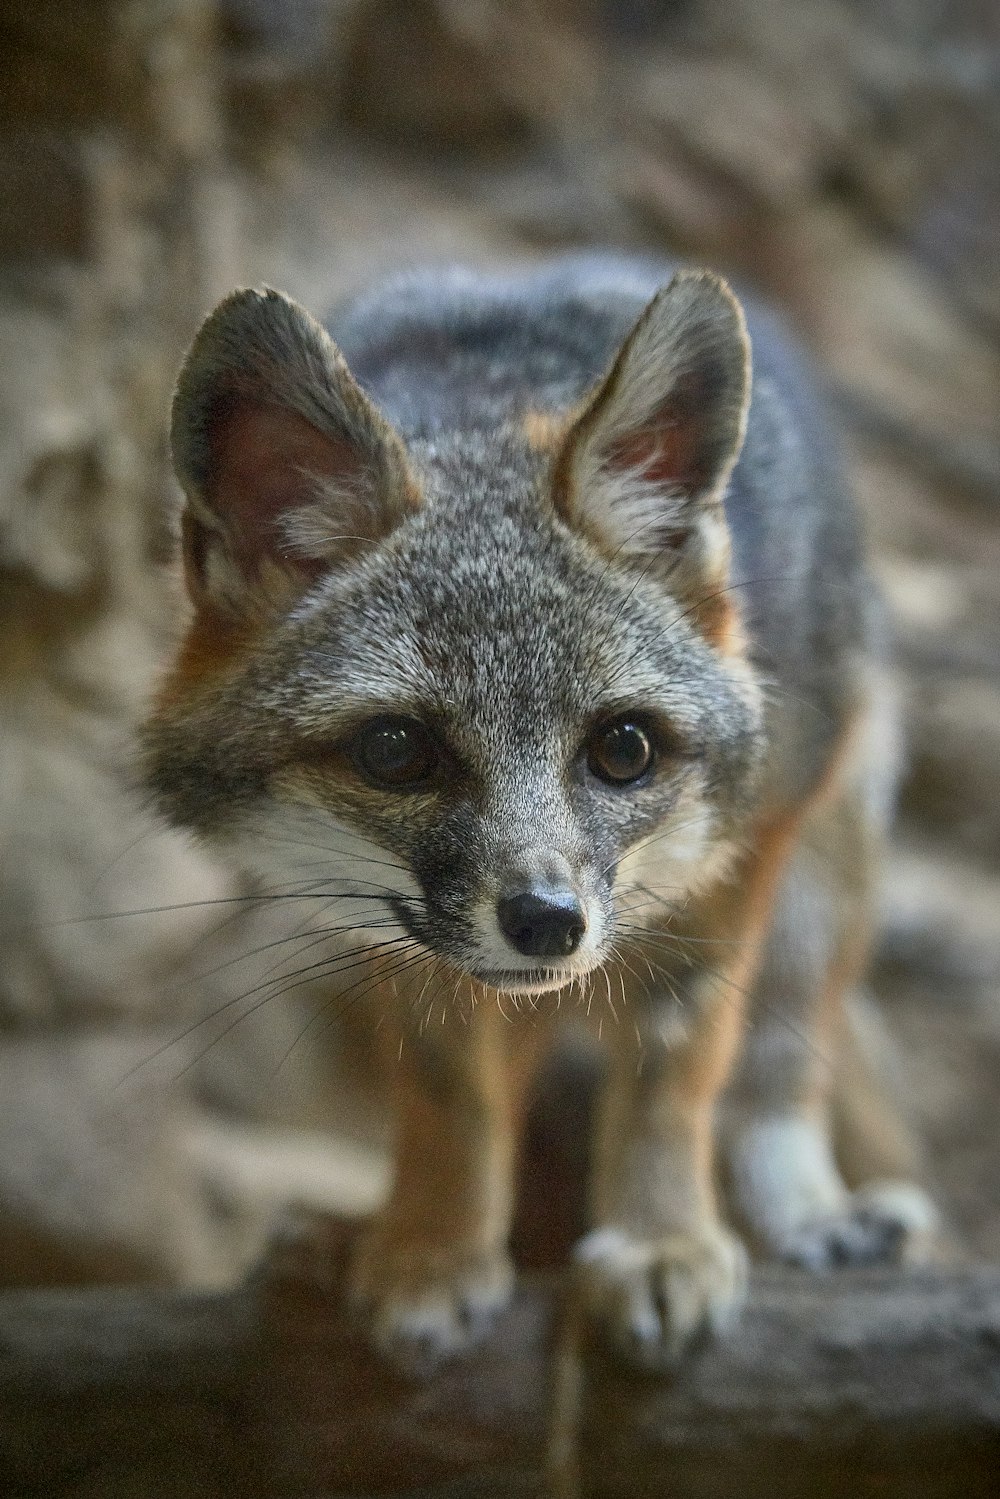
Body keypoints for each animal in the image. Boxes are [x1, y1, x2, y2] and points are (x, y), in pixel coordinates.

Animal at [144, 257, 941, 1373]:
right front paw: (431, 1250)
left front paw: (658, 1239)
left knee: (779, 1068)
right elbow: (451, 1101)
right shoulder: (407, 944)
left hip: (825, 870)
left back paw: (810, 1214)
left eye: (624, 748)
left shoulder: (742, 852)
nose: (548, 922)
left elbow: (676, 1071)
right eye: (395, 750)